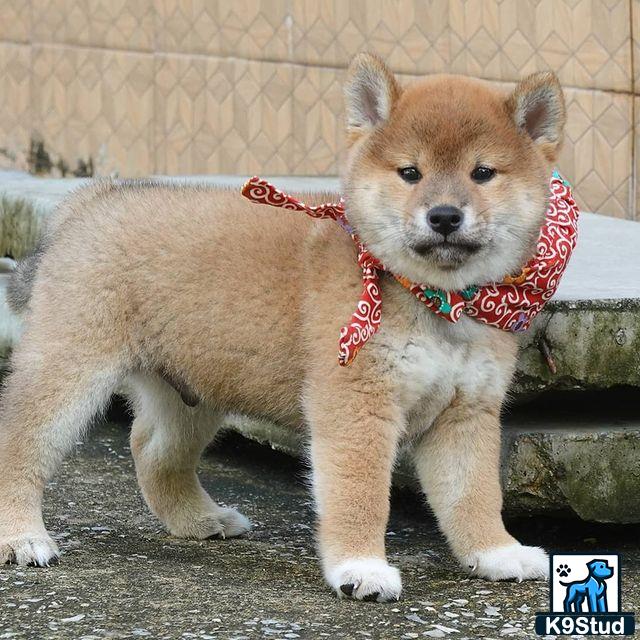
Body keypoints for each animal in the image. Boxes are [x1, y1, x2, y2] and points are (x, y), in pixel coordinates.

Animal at [0, 53, 564, 600]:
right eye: (410, 172)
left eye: (483, 173)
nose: (444, 216)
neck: (437, 301)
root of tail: (86, 202)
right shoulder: (356, 405)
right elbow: (360, 494)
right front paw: (361, 568)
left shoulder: (465, 412)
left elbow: (475, 495)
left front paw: (496, 553)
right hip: (69, 369)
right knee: (20, 443)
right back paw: (21, 537)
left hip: (195, 391)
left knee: (151, 450)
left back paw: (198, 519)